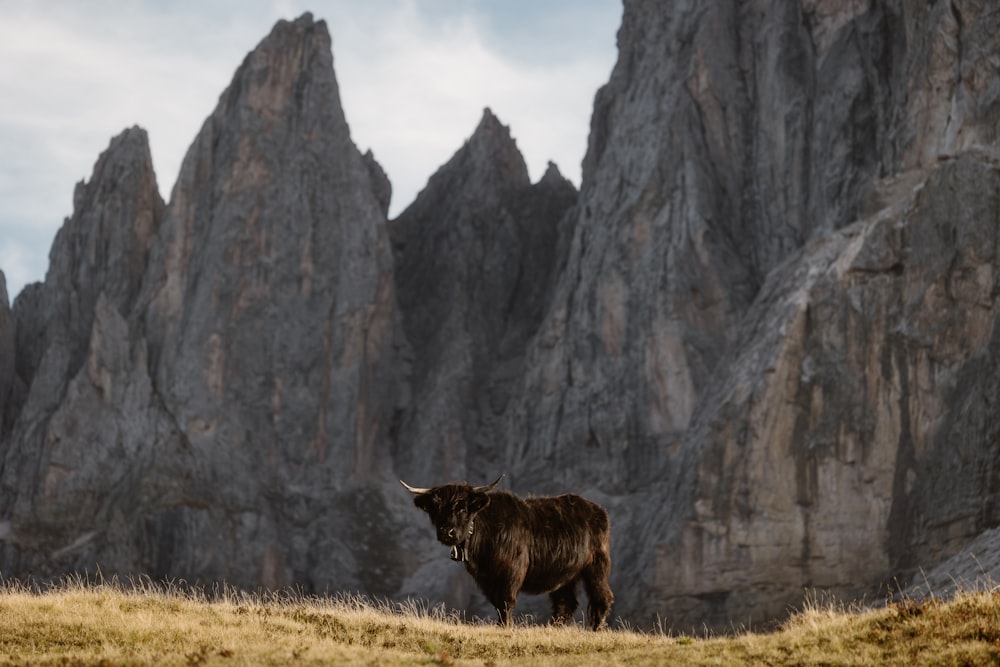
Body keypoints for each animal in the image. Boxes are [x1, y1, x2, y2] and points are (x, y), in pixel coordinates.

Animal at [402, 478, 612, 628]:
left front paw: (505, 627)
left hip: (596, 566)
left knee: (602, 597)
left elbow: (506, 601)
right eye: (435, 509)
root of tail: (598, 510)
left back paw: (595, 630)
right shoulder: (486, 580)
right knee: (565, 604)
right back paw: (552, 628)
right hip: (565, 574)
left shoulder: (512, 571)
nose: (447, 532)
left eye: (462, 508)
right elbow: (497, 603)